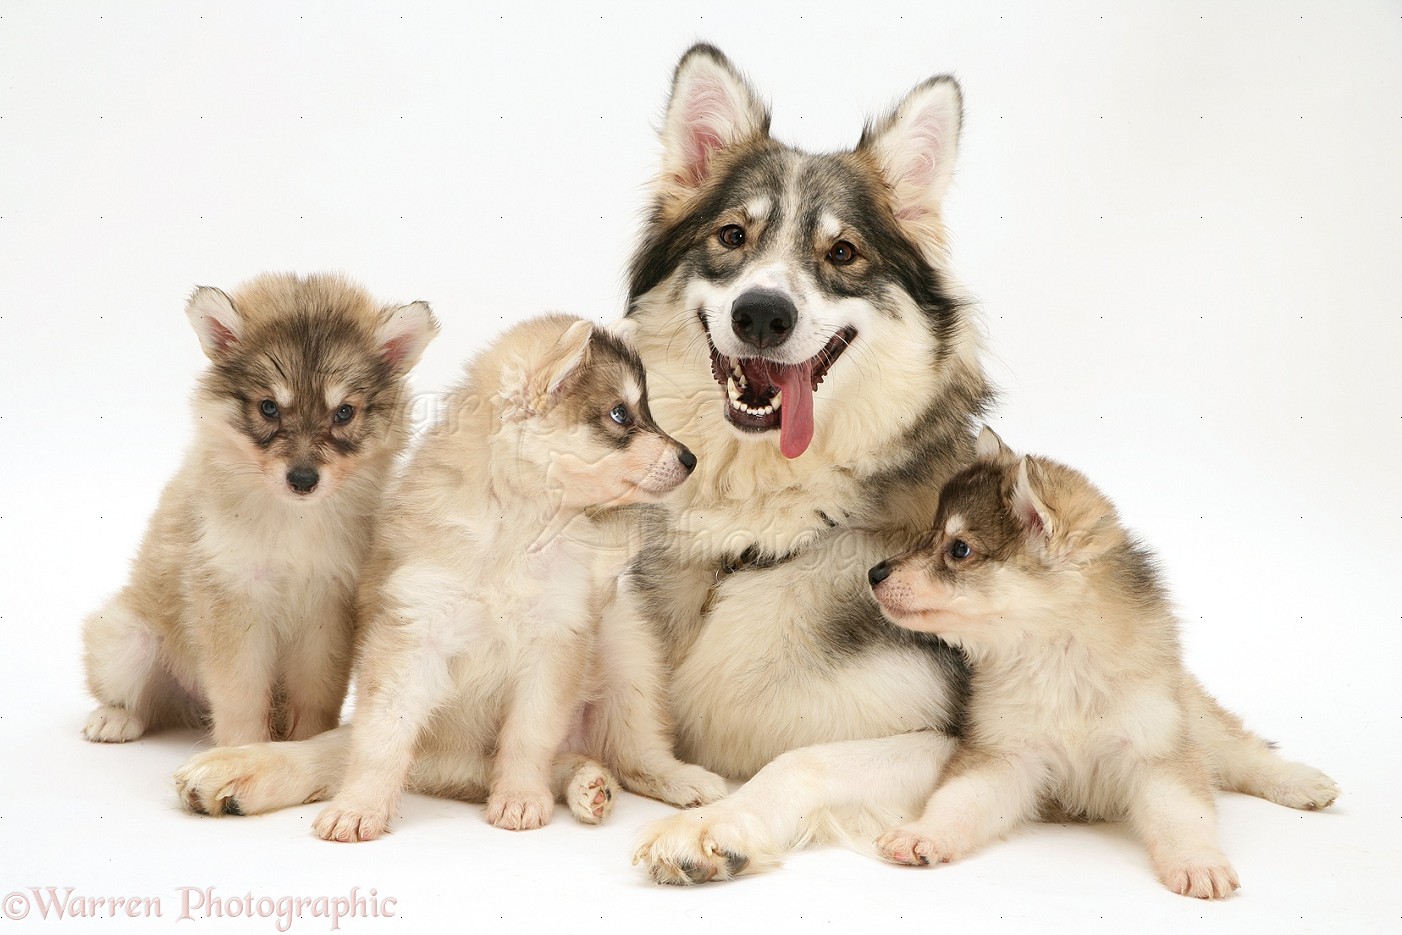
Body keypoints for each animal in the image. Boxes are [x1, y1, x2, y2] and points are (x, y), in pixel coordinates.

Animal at [80, 270, 437, 745]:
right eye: (269, 407)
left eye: (344, 412)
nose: (303, 480)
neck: (295, 519)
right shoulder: (235, 599)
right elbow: (241, 694)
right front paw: (242, 748)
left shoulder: (327, 607)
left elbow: (316, 692)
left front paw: (300, 746)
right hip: (123, 637)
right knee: (139, 696)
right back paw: (115, 717)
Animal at [307, 316, 723, 841]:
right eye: (620, 414)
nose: (690, 459)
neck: (518, 523)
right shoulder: (412, 632)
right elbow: (383, 734)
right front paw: (359, 806)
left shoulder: (556, 638)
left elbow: (529, 733)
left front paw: (521, 796)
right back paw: (586, 783)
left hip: (626, 648)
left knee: (634, 751)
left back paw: (672, 778)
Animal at [869, 428, 1340, 897]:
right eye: (930, 536)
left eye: (960, 549)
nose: (874, 573)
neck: (1060, 659)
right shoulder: (1004, 754)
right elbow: (957, 801)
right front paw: (924, 834)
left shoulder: (1158, 751)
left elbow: (1182, 814)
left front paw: (1197, 862)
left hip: (1195, 718)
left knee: (1244, 754)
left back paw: (1302, 783)